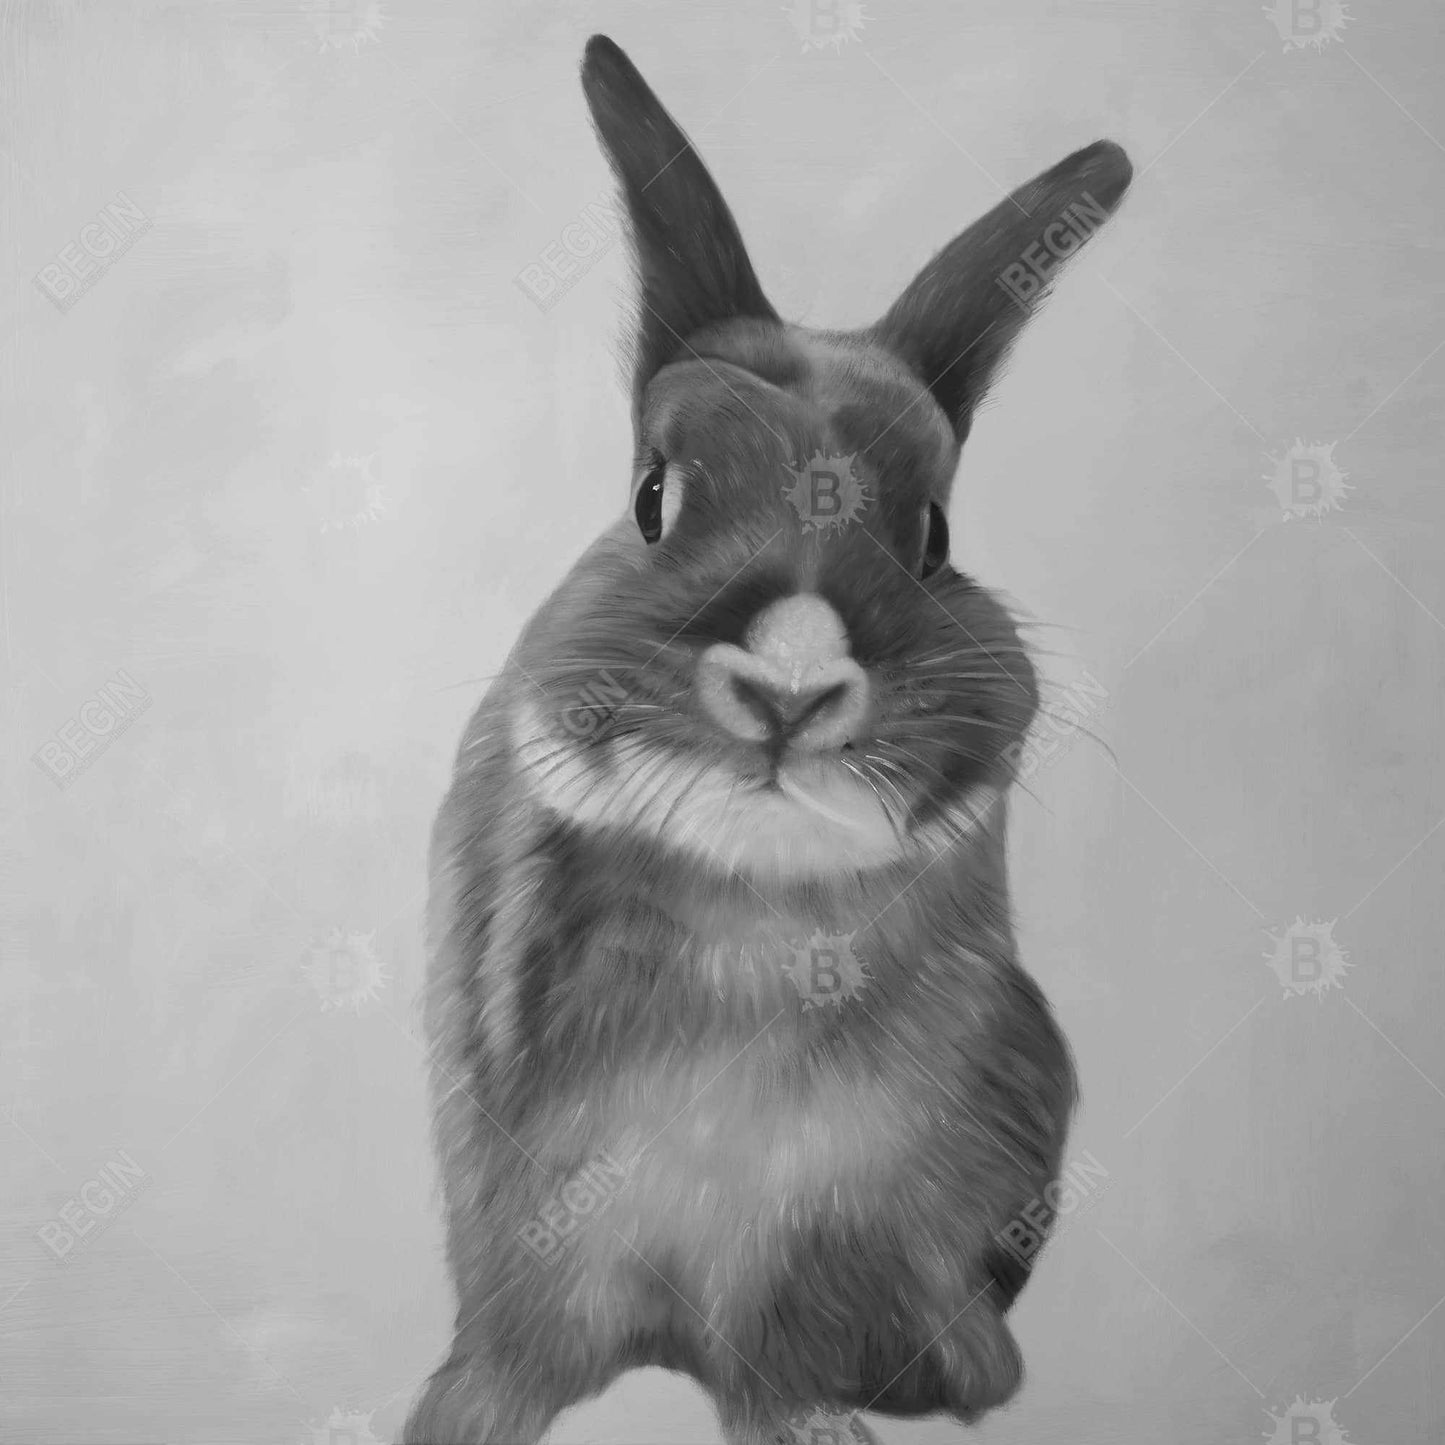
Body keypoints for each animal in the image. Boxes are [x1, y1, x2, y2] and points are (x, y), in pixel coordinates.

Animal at [403, 33, 1131, 1445]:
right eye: (652, 495)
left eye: (932, 537)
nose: (790, 685)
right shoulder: (526, 1226)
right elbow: (516, 1349)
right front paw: (455, 1415)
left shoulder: (804, 1253)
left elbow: (772, 1360)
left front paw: (815, 1422)